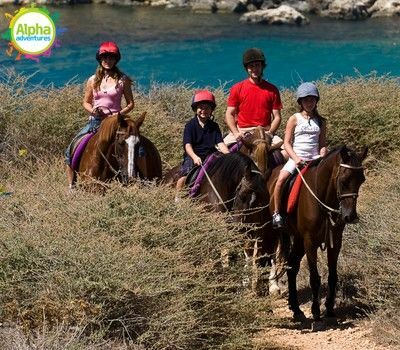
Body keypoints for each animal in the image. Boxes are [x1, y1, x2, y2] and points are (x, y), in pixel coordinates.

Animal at [268, 146, 368, 322]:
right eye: (344, 180)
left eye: (361, 180)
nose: (350, 216)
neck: (323, 199)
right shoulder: (310, 241)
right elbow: (314, 278)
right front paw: (315, 310)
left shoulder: (335, 241)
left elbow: (333, 276)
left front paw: (329, 309)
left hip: (298, 239)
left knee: (292, 267)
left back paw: (296, 308)